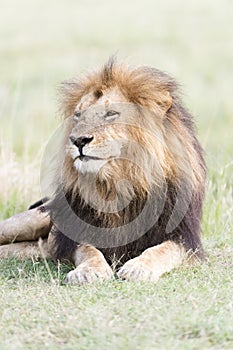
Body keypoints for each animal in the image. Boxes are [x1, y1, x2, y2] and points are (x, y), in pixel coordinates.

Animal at [0, 56, 206, 282]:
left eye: (111, 114)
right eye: (78, 115)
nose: (78, 140)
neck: (120, 183)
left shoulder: (184, 239)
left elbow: (161, 250)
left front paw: (138, 268)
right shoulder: (78, 234)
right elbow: (89, 250)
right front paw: (89, 271)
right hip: (33, 219)